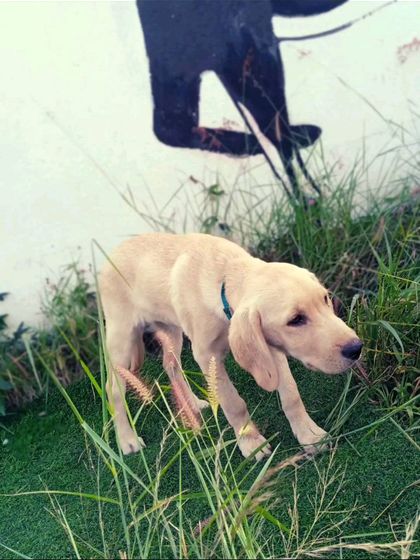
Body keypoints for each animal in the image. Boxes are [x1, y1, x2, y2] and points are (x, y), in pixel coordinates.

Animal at [99, 233, 362, 460]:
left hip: (171, 330)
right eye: (295, 320)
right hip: (122, 338)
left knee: (171, 364)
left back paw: (193, 404)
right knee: (113, 388)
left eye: (325, 298)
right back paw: (127, 440)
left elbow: (291, 394)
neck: (225, 276)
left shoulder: (270, 348)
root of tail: (114, 252)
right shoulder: (208, 356)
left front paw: (309, 434)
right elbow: (233, 403)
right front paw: (251, 443)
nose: (356, 348)